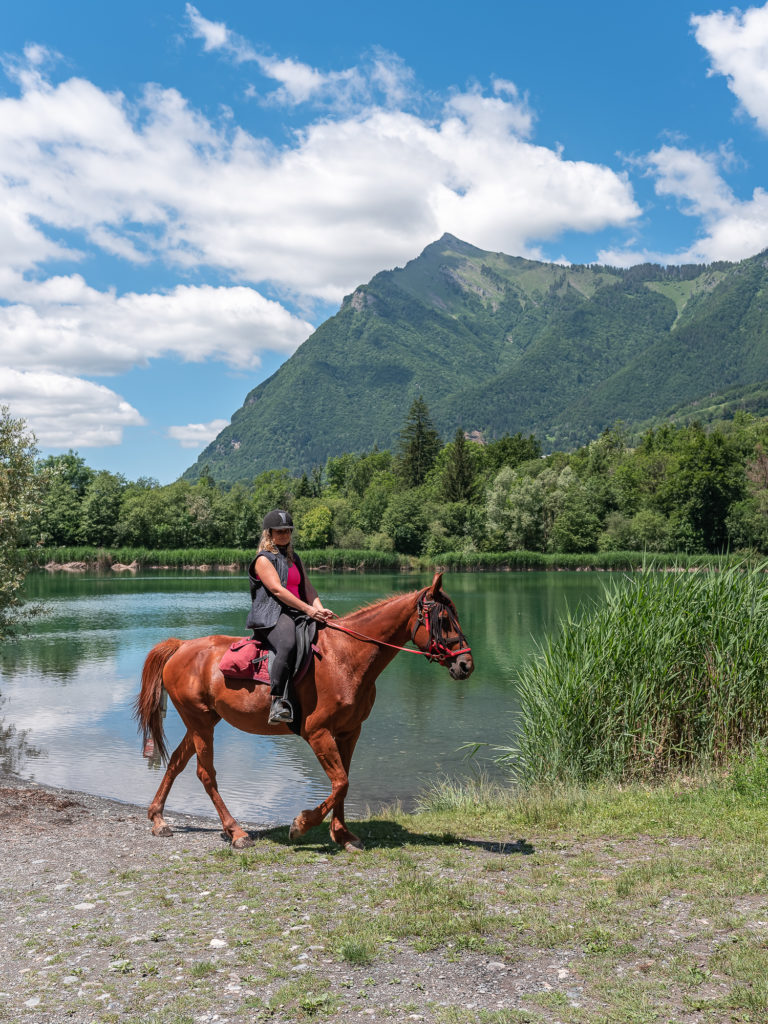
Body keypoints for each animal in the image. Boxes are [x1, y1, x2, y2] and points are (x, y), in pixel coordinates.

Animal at [137, 573, 475, 851]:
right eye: (443, 618)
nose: (466, 665)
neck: (345, 657)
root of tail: (181, 646)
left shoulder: (349, 732)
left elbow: (343, 782)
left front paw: (343, 835)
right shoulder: (317, 732)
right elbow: (341, 782)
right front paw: (300, 826)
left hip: (202, 722)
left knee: (176, 763)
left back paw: (158, 819)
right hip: (200, 723)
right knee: (205, 773)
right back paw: (236, 832)